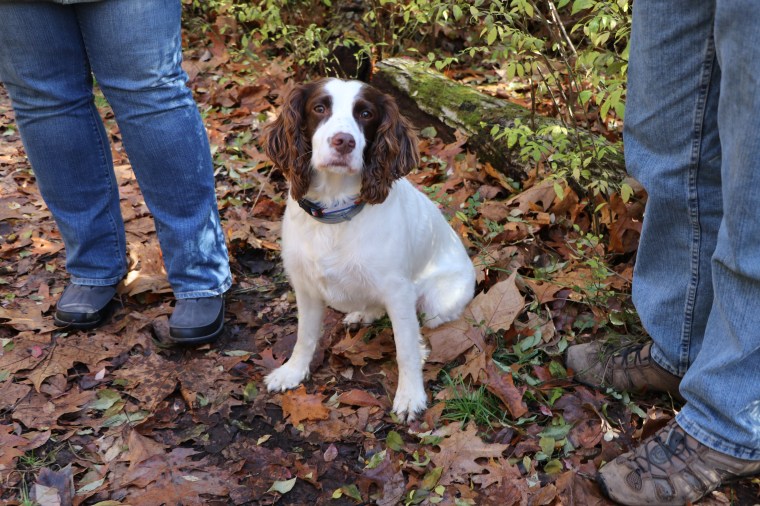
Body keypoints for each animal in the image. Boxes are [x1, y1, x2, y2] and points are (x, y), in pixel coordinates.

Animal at [263, 78, 475, 421]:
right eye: (319, 108)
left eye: (365, 113)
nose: (343, 142)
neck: (335, 212)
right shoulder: (305, 286)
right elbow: (304, 336)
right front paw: (292, 372)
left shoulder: (398, 291)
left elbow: (405, 348)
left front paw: (410, 396)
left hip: (438, 302)